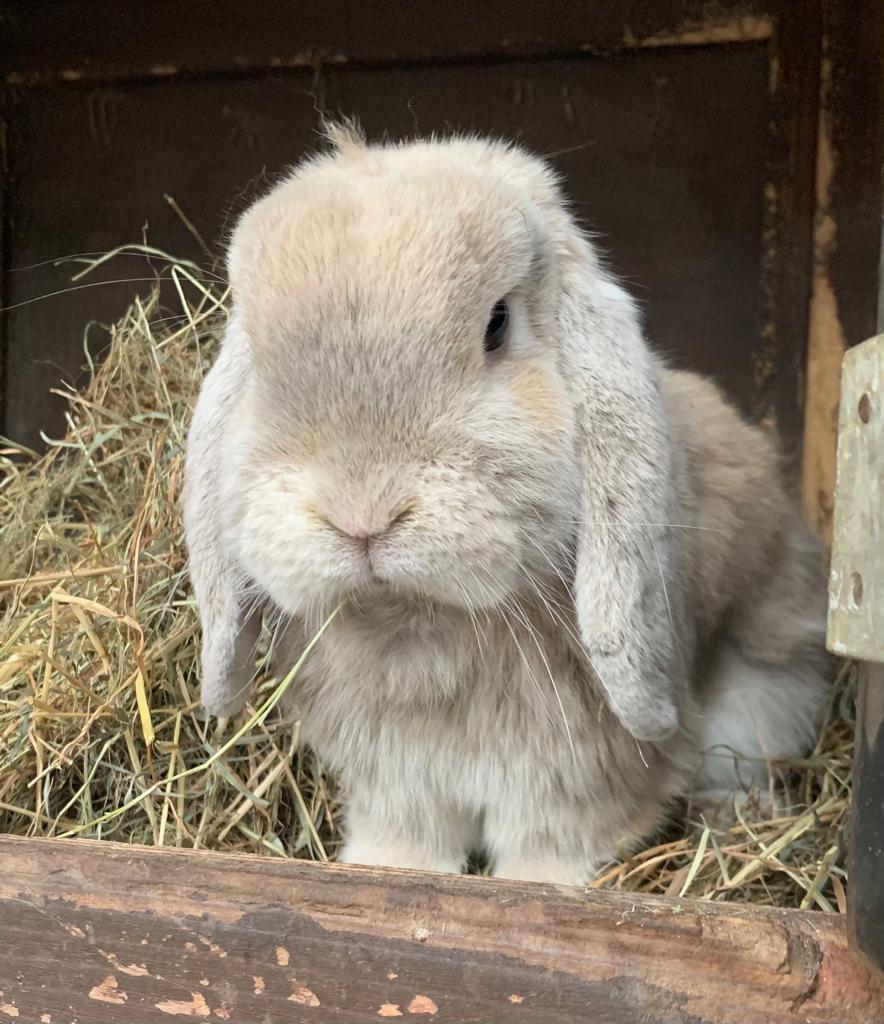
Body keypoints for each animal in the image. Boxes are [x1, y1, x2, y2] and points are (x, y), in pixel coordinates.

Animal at [183, 123, 829, 884]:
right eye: (256, 353)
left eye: (497, 324)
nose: (362, 515)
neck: (417, 624)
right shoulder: (399, 779)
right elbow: (409, 835)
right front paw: (387, 871)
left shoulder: (580, 773)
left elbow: (553, 839)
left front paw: (541, 887)